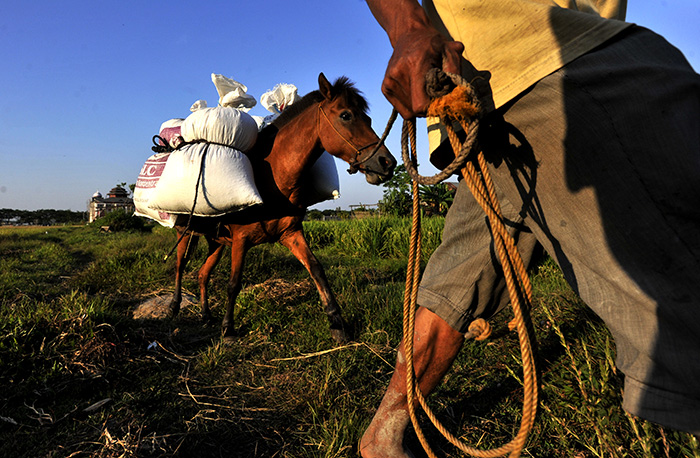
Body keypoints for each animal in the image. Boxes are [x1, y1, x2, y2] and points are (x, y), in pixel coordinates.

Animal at [165, 73, 394, 342]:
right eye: (346, 115)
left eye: (368, 118)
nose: (387, 163)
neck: (272, 179)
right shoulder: (241, 240)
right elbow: (234, 283)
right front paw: (228, 329)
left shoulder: (291, 233)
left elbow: (317, 269)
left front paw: (337, 322)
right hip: (185, 233)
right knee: (180, 266)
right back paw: (174, 307)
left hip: (216, 241)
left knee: (202, 273)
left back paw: (206, 315)